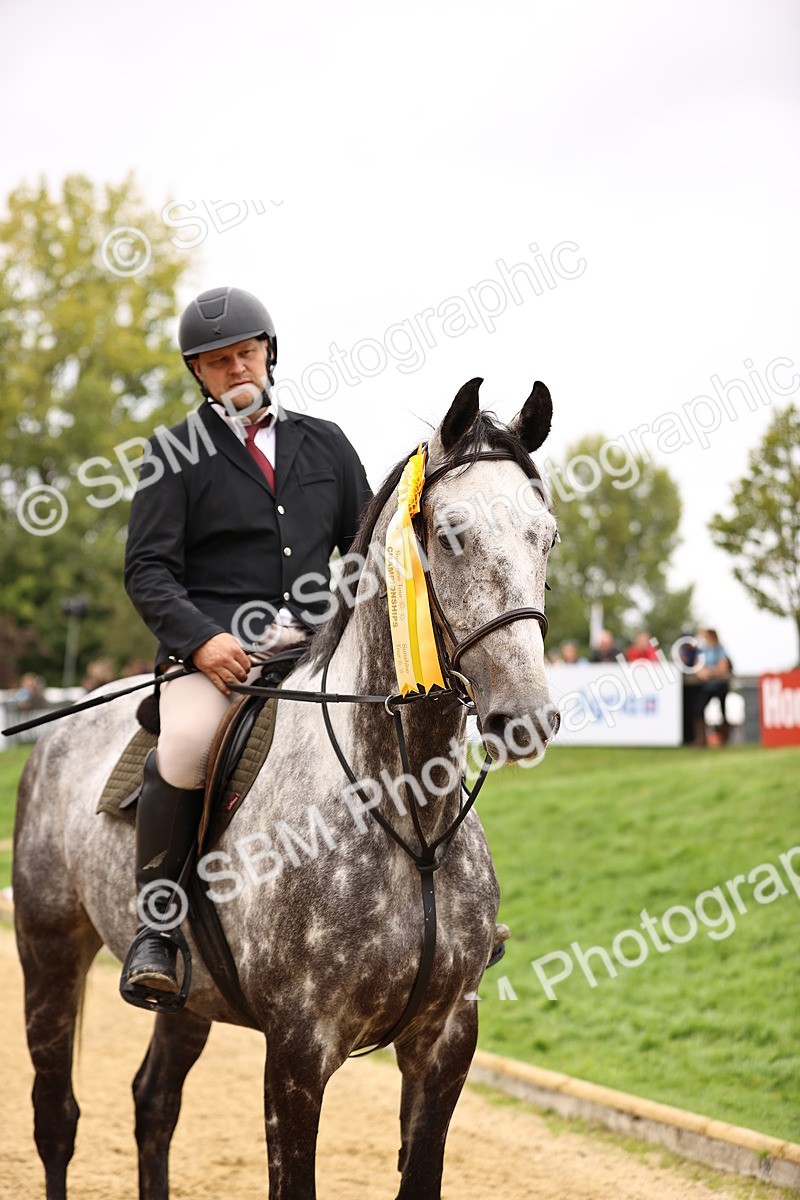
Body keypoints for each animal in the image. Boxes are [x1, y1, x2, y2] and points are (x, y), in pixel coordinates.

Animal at [13, 376, 560, 1200]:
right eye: (449, 534)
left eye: (545, 536)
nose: (525, 717)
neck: (411, 819)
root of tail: (59, 727)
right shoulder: (300, 1047)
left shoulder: (445, 1040)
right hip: (48, 951)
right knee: (57, 1117)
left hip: (188, 998)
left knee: (153, 1102)